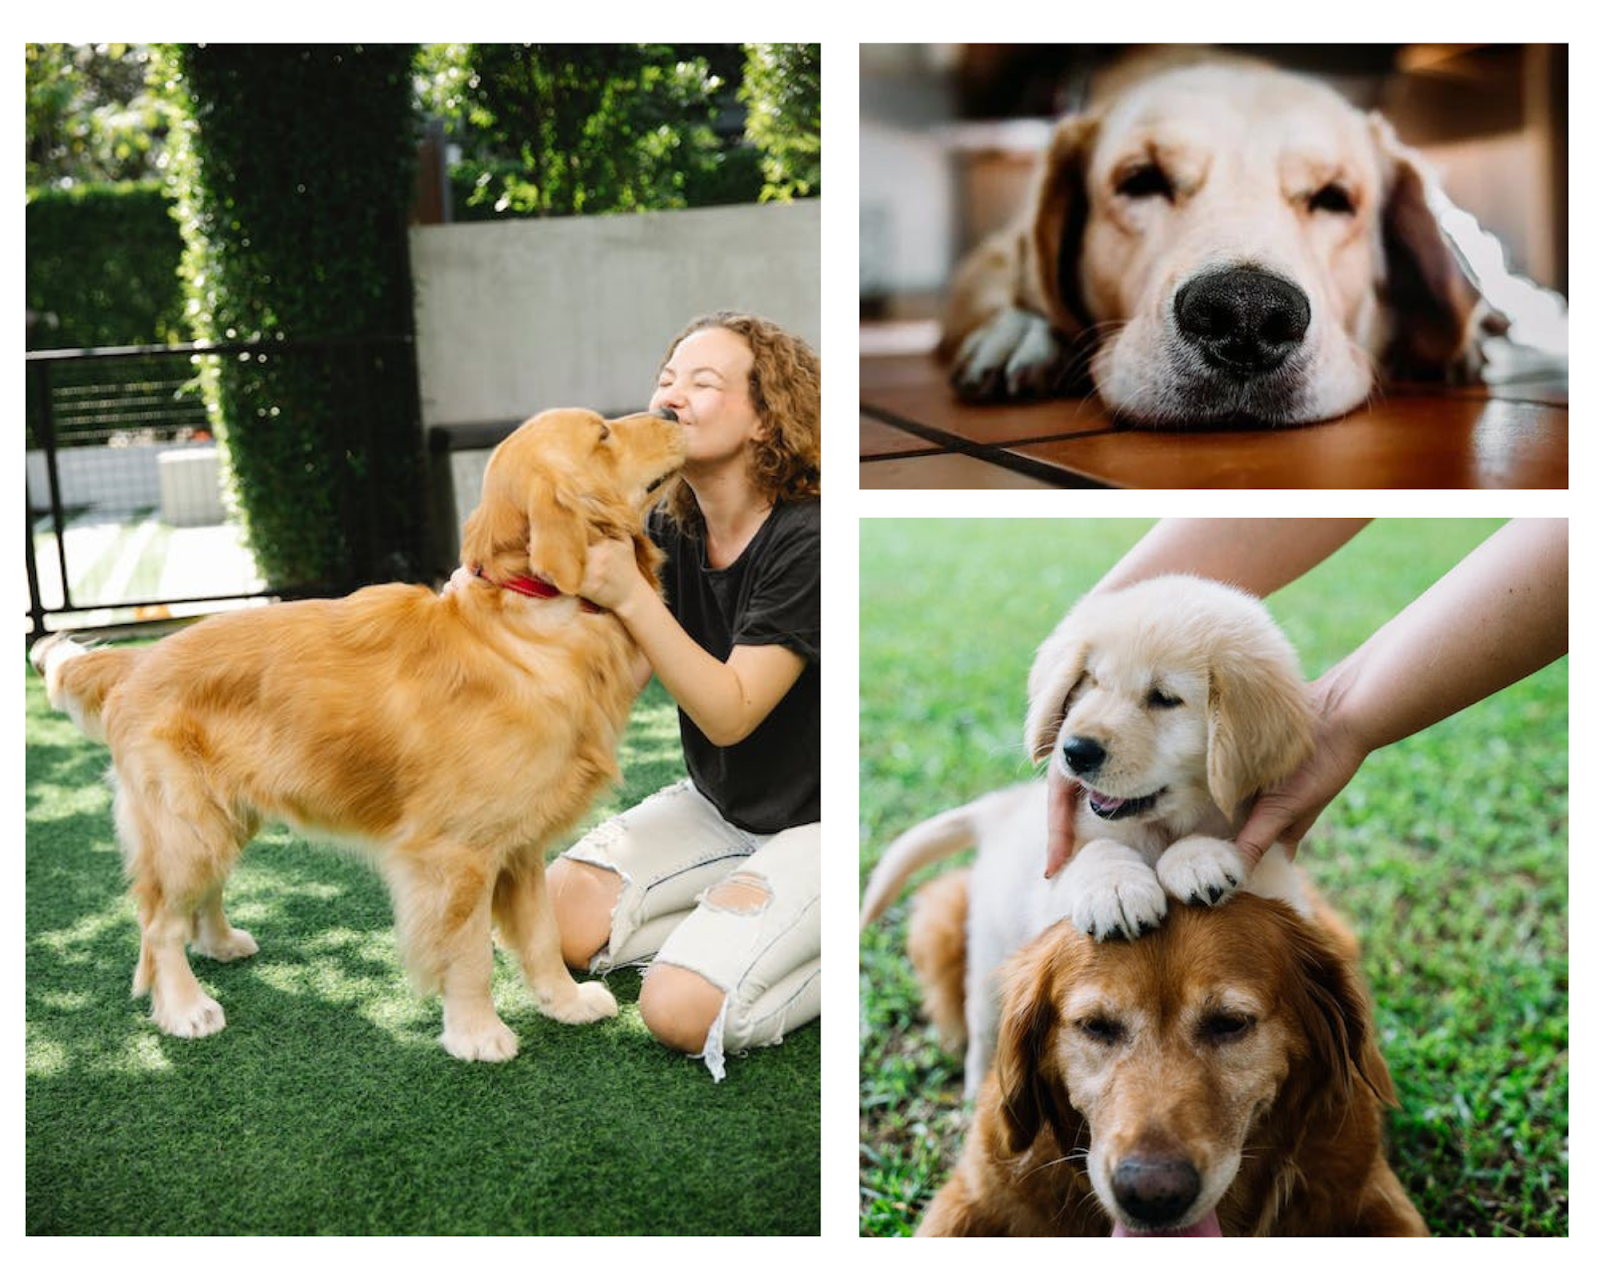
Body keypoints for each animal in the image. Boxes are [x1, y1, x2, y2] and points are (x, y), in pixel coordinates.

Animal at [31, 408, 681, 1062]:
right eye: (602, 435)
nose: (670, 412)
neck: (523, 626)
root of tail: (137, 660)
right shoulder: (455, 854)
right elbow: (468, 952)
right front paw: (477, 1033)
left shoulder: (518, 844)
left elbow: (543, 935)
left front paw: (565, 1003)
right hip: (186, 827)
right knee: (159, 923)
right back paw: (186, 1007)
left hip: (223, 816)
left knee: (200, 897)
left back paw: (221, 943)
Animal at [864, 576, 1312, 1094]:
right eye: (1091, 681)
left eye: (1164, 698)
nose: (1075, 751)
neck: (1157, 829)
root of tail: (1003, 808)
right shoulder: (1056, 871)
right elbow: (1093, 848)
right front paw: (1116, 889)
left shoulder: (1275, 879)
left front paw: (1199, 858)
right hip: (991, 960)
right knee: (984, 1035)